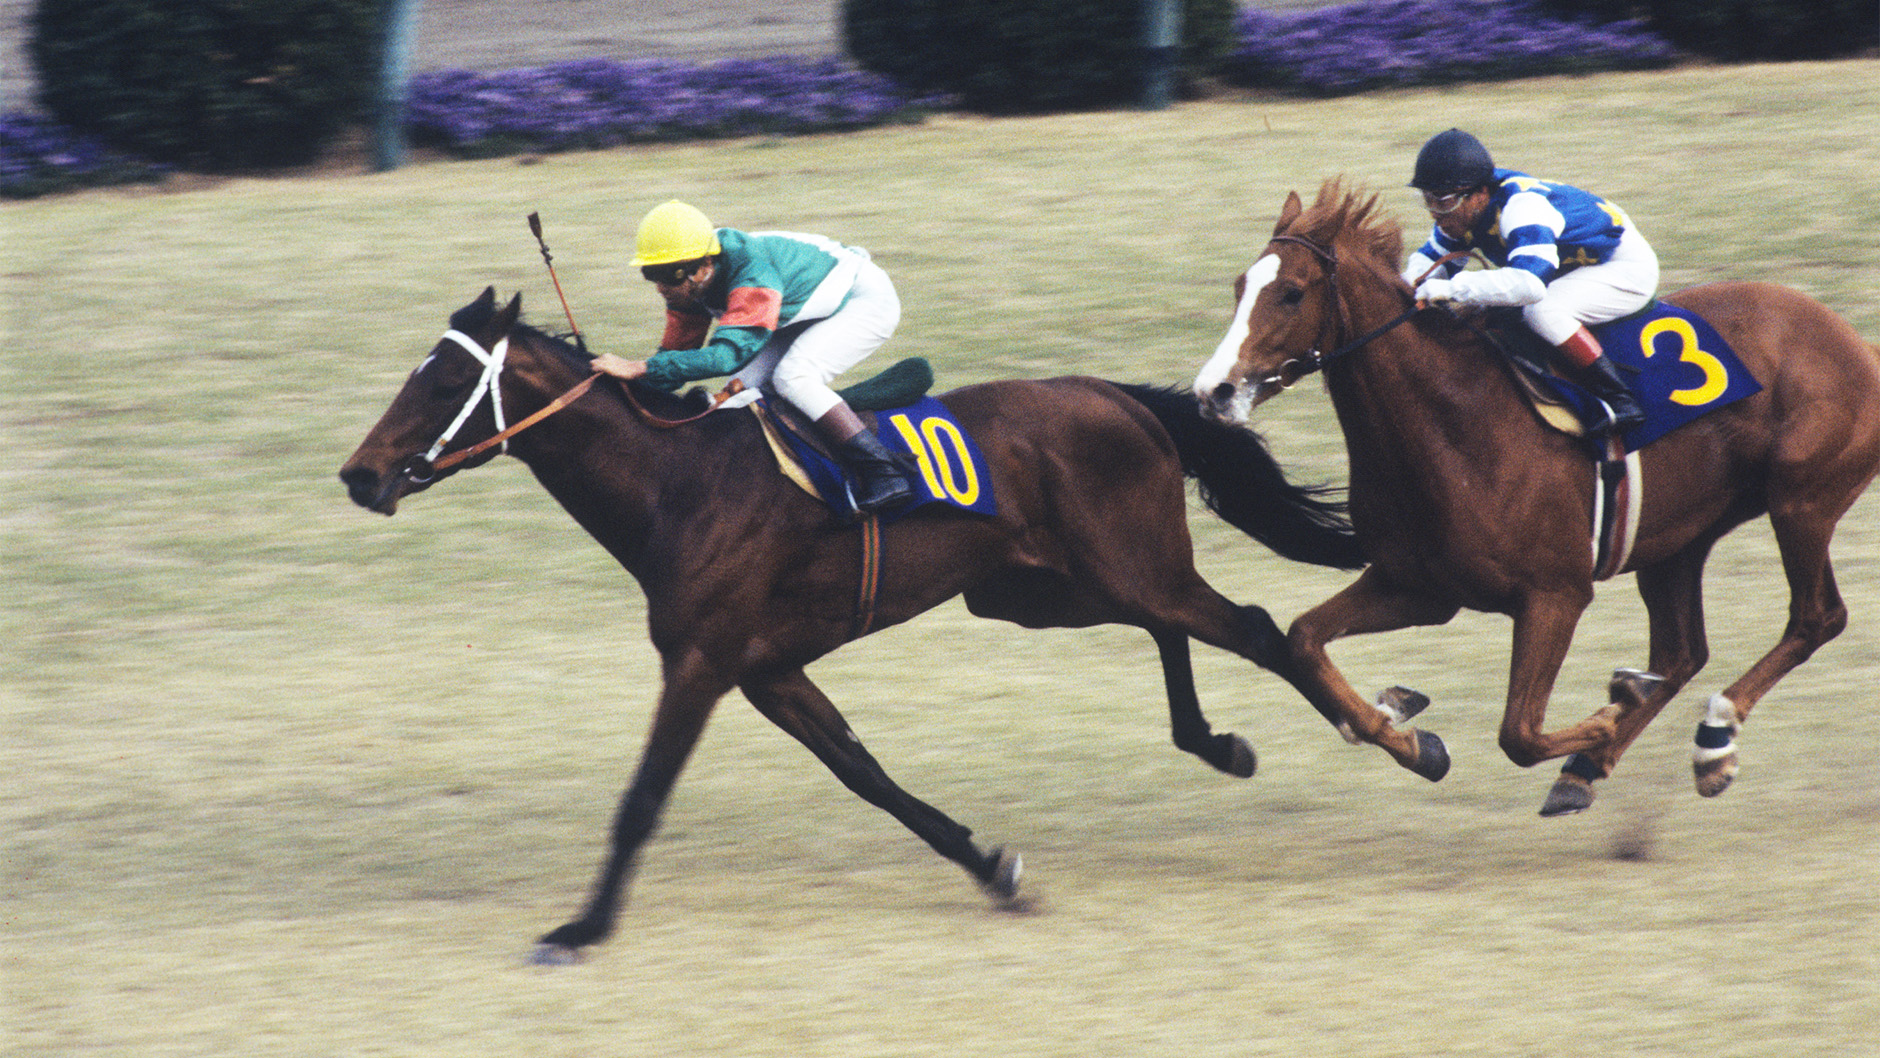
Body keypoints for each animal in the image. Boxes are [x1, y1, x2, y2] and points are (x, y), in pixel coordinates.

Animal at [339, 287, 1363, 962]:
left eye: (442, 382)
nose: (358, 475)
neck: (676, 483)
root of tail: (1113, 395)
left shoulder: (702, 663)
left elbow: (642, 800)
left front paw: (581, 928)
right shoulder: (767, 671)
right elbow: (867, 775)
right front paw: (990, 865)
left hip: (1121, 569)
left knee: (1259, 627)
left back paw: (1377, 730)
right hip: (1040, 591)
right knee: (1179, 629)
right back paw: (1216, 741)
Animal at [1192, 180, 1880, 817]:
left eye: (1291, 292)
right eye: (1239, 286)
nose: (1213, 392)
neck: (1451, 425)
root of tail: (1854, 340)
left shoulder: (1555, 596)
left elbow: (1518, 733)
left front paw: (1607, 714)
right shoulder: (1418, 586)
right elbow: (1304, 640)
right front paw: (1413, 737)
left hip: (1802, 501)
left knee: (1816, 618)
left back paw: (1713, 736)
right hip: (1677, 538)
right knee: (1682, 652)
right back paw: (1593, 763)